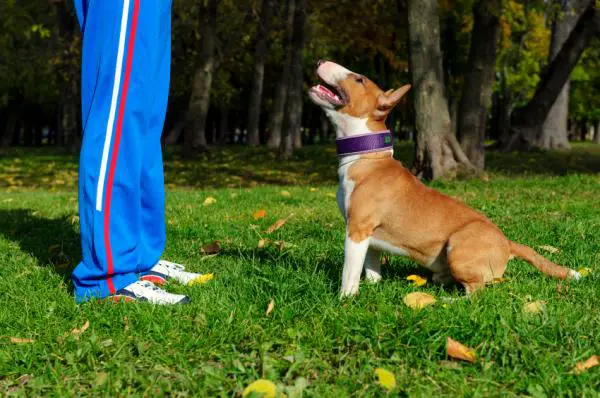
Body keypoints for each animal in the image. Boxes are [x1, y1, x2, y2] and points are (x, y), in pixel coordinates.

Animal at [308, 59, 580, 296]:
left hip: (458, 246)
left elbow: (349, 272)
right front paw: (373, 288)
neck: (365, 155)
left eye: (359, 79)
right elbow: (371, 267)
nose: (320, 61)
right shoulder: (370, 236)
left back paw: (448, 302)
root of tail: (508, 243)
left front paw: (345, 300)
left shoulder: (357, 229)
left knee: (477, 292)